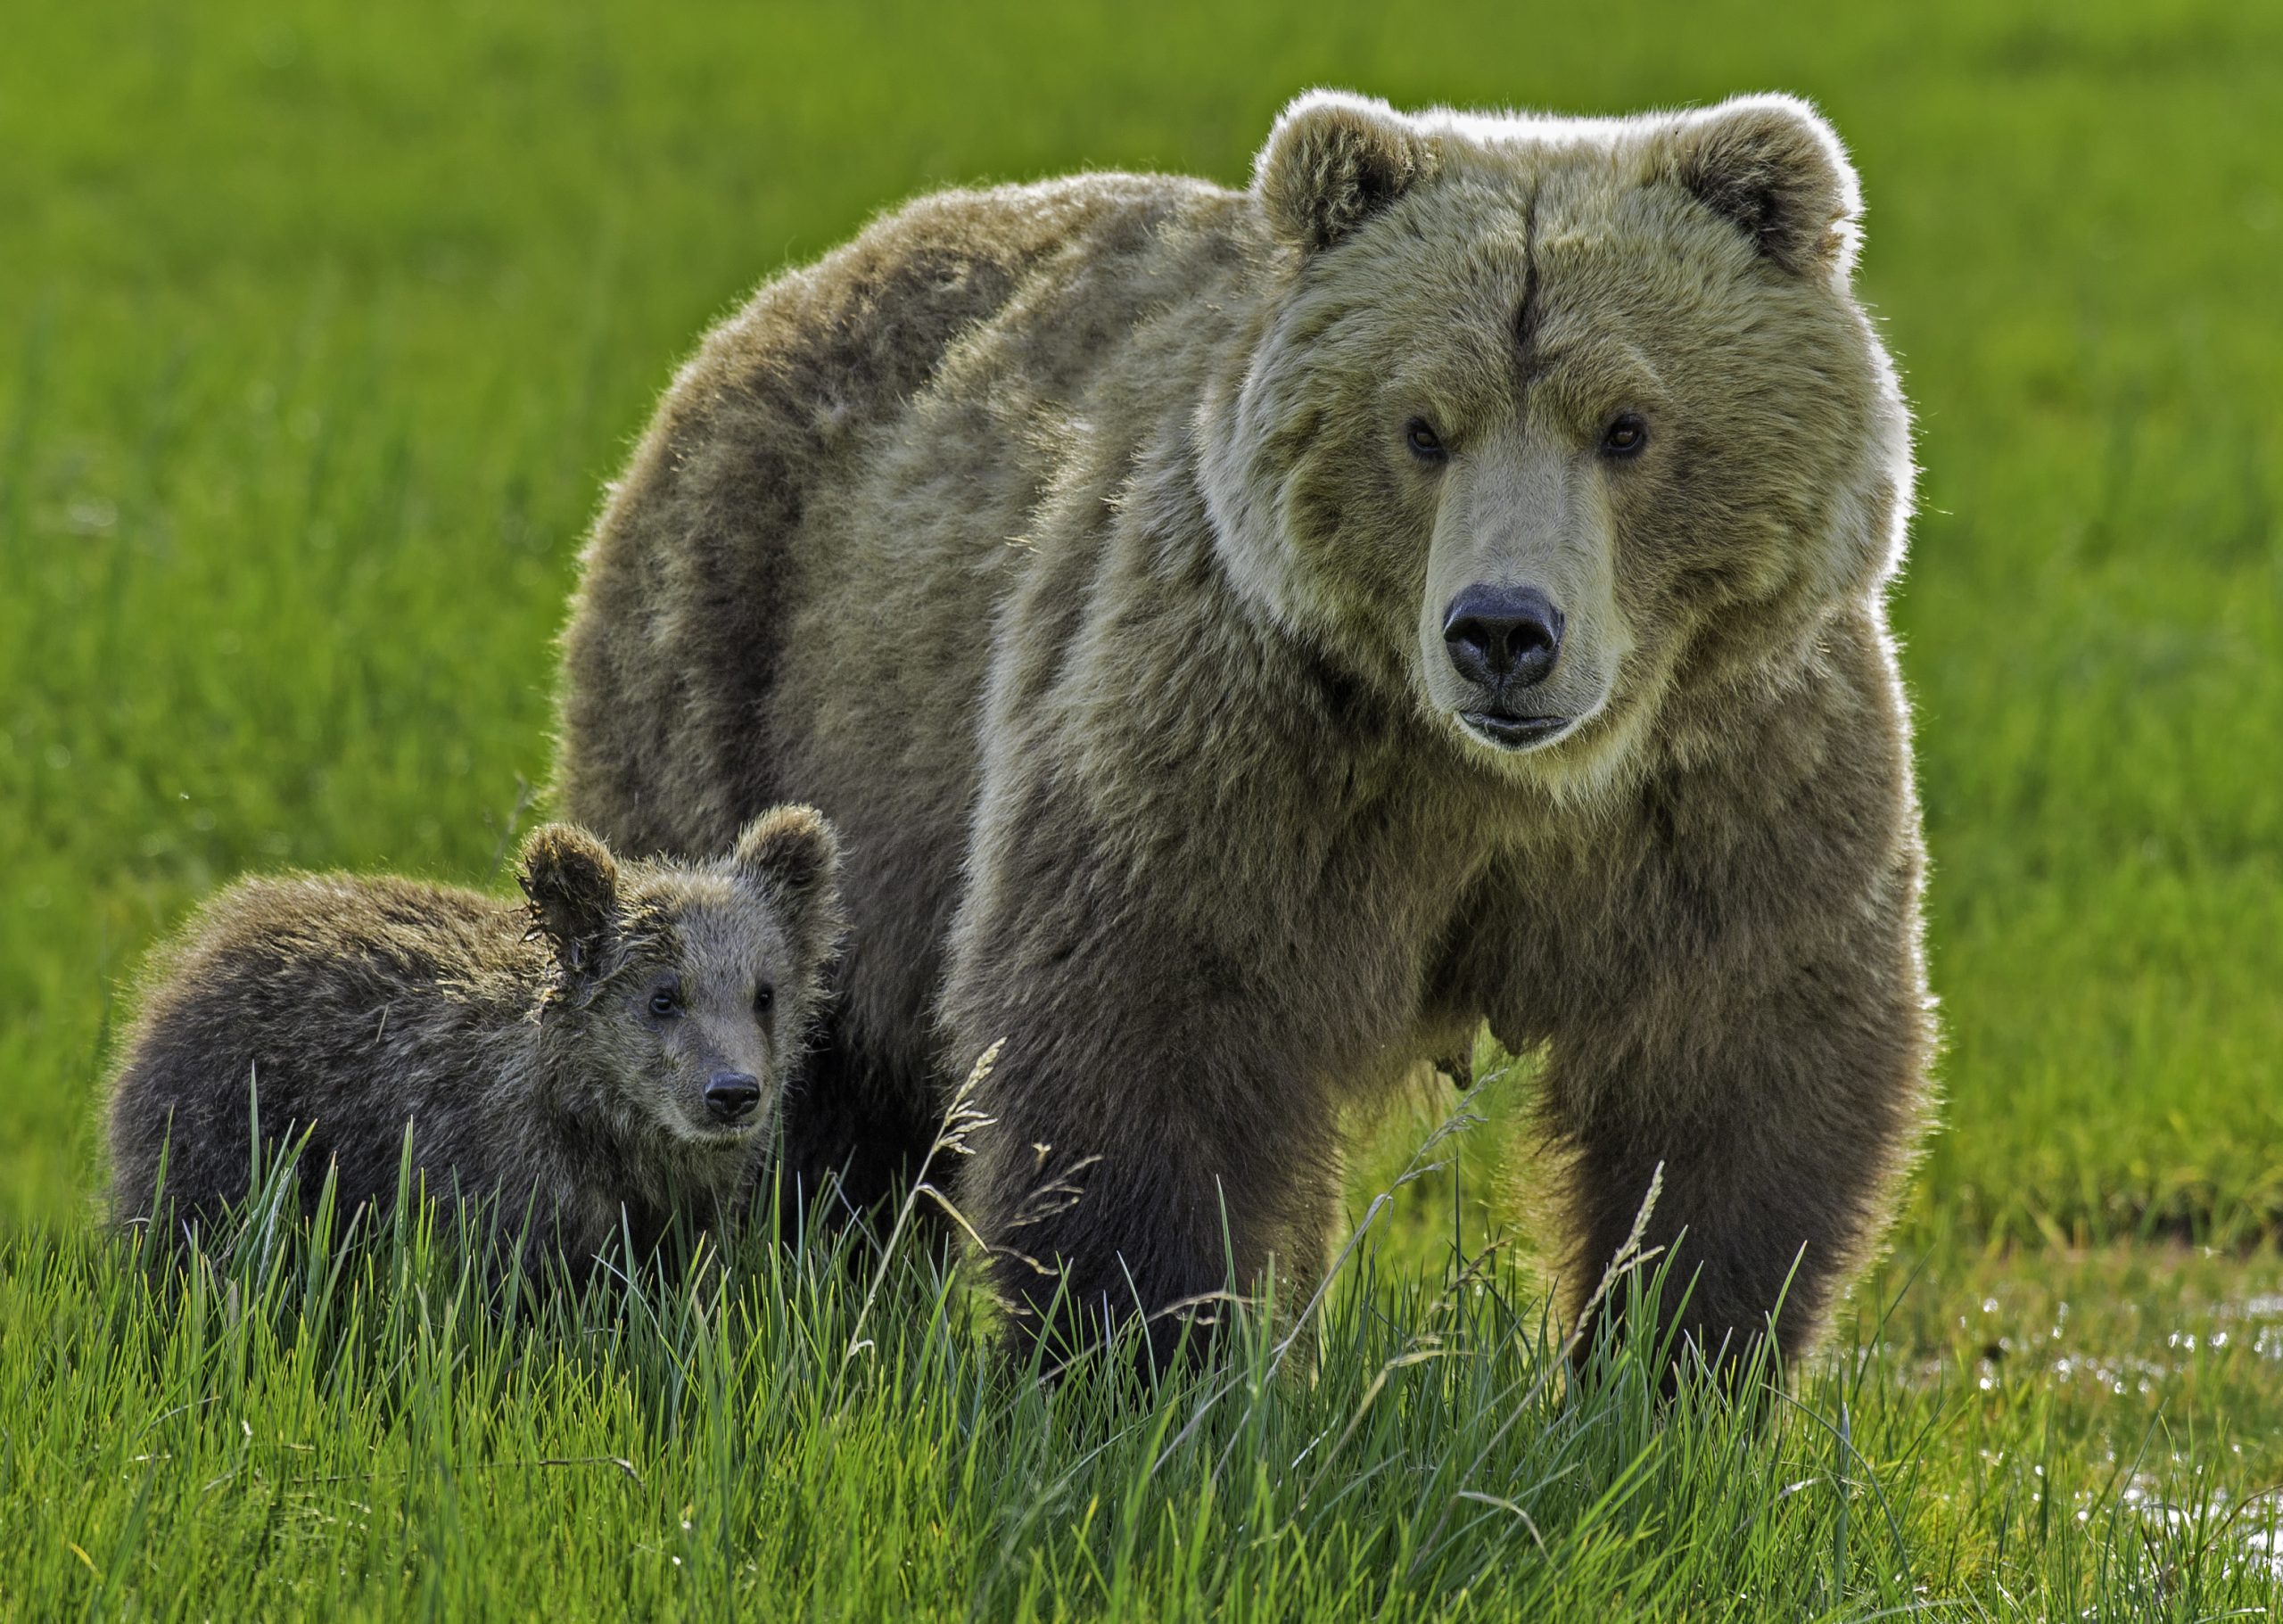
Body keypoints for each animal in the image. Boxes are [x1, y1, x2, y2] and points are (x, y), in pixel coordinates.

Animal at [552, 86, 1926, 1361]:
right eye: (1420, 426)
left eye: (1628, 424)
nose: (1501, 631)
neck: (1504, 787)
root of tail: (788, 292)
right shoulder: (1238, 740)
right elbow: (1150, 1020)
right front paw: (1135, 1357)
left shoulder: (1735, 779)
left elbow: (1737, 1071)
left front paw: (1673, 1364)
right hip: (760, 675)